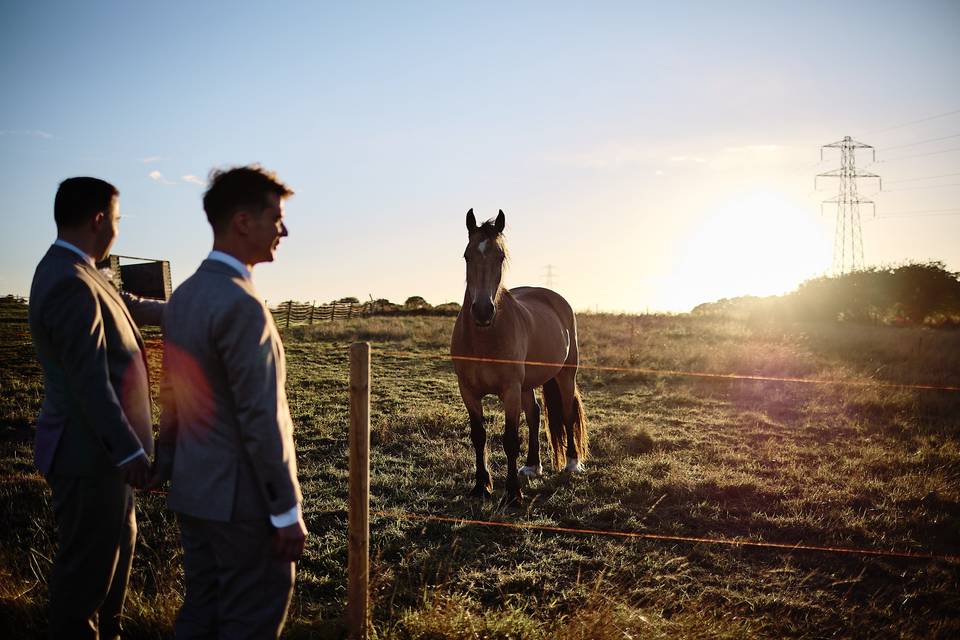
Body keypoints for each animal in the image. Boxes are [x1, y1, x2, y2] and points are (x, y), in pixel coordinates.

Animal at [450, 208, 588, 505]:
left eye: (500, 256)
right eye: (467, 255)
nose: (483, 311)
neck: (484, 338)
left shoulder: (510, 390)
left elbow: (511, 439)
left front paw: (513, 493)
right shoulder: (468, 391)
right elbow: (479, 436)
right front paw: (481, 486)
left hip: (564, 375)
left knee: (567, 412)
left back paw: (572, 463)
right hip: (527, 384)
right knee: (535, 413)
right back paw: (533, 465)